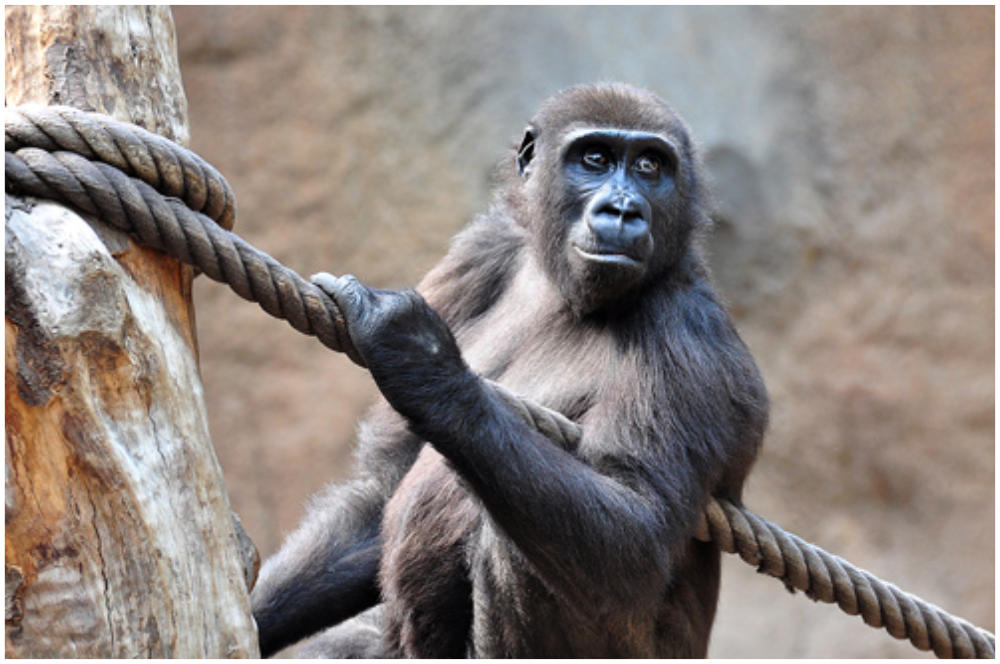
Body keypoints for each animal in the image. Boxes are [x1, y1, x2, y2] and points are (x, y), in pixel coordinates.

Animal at [250, 82, 769, 658]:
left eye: (650, 166)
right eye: (594, 158)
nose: (623, 209)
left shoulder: (693, 336)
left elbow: (636, 535)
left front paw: (425, 364)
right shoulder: (482, 249)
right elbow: (385, 482)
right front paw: (251, 615)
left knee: (520, 538)